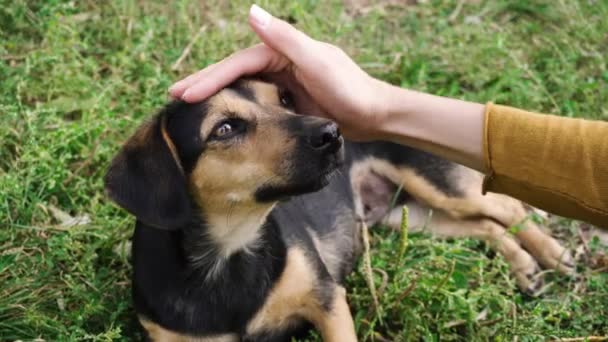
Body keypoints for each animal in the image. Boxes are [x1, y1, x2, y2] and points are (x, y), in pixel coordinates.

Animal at [104, 79, 576, 340]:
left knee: (507, 208)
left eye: (284, 99)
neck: (230, 251)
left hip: (437, 185)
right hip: (411, 217)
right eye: (225, 128)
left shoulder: (328, 301)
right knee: (487, 227)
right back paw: (525, 268)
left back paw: (551, 254)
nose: (332, 133)